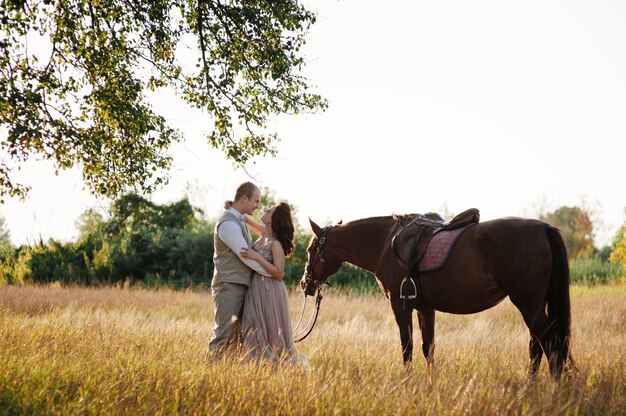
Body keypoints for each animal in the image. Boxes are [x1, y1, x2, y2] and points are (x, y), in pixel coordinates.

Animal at [300, 216, 572, 378]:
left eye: (311, 249)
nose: (305, 284)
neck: (386, 244)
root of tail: (543, 227)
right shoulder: (424, 308)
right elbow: (427, 348)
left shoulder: (400, 306)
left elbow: (407, 347)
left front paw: (407, 382)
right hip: (533, 307)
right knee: (538, 346)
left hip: (528, 306)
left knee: (551, 344)